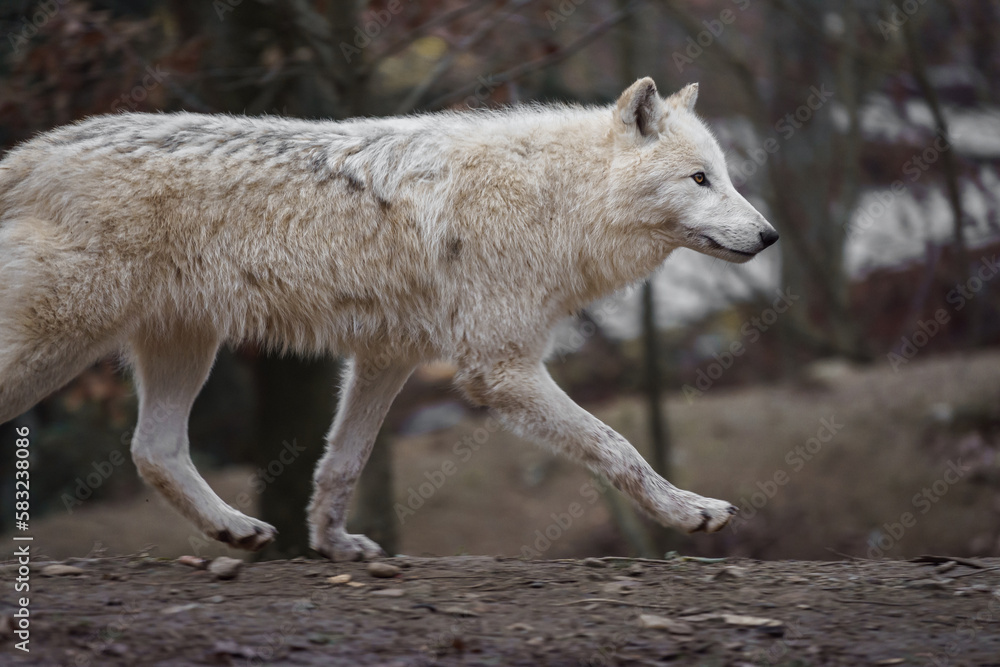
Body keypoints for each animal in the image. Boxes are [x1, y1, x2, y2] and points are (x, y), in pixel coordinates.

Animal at [0, 77, 776, 560]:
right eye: (700, 178)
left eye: (726, 176)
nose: (769, 236)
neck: (555, 199)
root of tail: (28, 153)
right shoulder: (499, 370)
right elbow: (617, 445)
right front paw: (688, 512)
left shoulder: (387, 357)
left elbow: (341, 466)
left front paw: (334, 545)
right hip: (63, 343)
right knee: (142, 446)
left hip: (186, 345)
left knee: (152, 451)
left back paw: (237, 530)